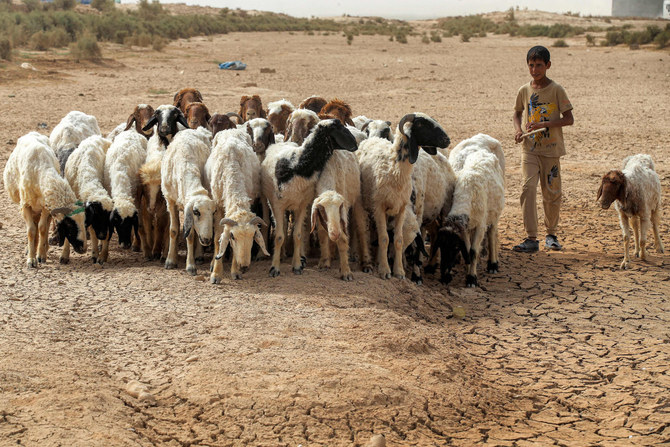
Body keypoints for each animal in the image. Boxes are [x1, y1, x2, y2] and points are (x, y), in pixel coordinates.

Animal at [3, 132, 88, 266]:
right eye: (69, 224)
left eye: (84, 221)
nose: (83, 249)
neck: (40, 171)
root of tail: (32, 132)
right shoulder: (25, 205)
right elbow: (31, 230)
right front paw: (31, 260)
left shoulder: (46, 207)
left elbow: (42, 228)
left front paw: (41, 256)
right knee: (34, 225)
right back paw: (31, 248)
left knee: (44, 225)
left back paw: (43, 247)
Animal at [63, 135, 113, 264]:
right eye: (97, 216)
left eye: (108, 217)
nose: (103, 235)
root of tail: (96, 136)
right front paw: (64, 255)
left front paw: (100, 255)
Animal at [262, 119, 360, 276]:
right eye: (338, 128)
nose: (355, 145)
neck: (298, 165)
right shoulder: (277, 205)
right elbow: (279, 237)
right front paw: (274, 268)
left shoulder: (302, 205)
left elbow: (297, 235)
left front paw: (296, 265)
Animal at [356, 113, 452, 280]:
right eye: (421, 124)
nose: (447, 140)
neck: (394, 168)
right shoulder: (379, 207)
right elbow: (384, 238)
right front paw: (384, 269)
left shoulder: (402, 208)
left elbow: (399, 239)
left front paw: (401, 272)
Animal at [436, 149, 504, 288]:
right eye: (441, 246)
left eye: (455, 248)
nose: (443, 272)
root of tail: (484, 152)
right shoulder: (465, 229)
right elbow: (467, 250)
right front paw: (468, 273)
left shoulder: (480, 226)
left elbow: (473, 251)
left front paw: (472, 278)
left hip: (494, 214)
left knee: (492, 235)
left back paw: (493, 264)